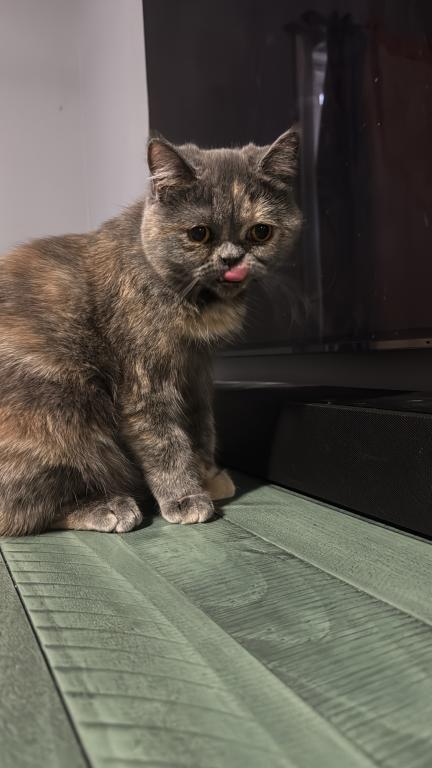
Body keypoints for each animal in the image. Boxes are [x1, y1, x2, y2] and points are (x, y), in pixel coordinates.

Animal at [0, 128, 301, 536]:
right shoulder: (145, 379)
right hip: (57, 411)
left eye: (260, 232)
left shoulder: (196, 369)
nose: (232, 258)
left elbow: (200, 425)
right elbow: (164, 441)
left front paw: (207, 476)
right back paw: (109, 506)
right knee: (25, 510)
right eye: (198, 233)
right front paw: (186, 498)